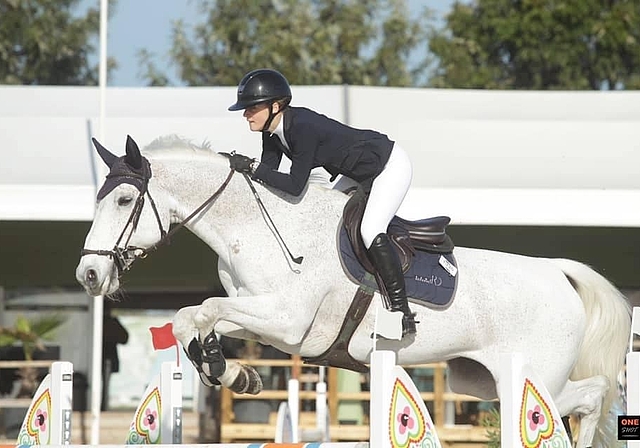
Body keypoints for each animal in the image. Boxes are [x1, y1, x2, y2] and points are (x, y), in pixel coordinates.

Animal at [75, 135, 631, 448]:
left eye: (123, 200)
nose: (89, 276)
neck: (255, 227)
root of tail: (557, 273)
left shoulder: (287, 321)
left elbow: (201, 310)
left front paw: (228, 370)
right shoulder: (263, 319)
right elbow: (196, 317)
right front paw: (235, 373)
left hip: (533, 376)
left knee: (590, 396)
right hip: (479, 379)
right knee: (581, 399)